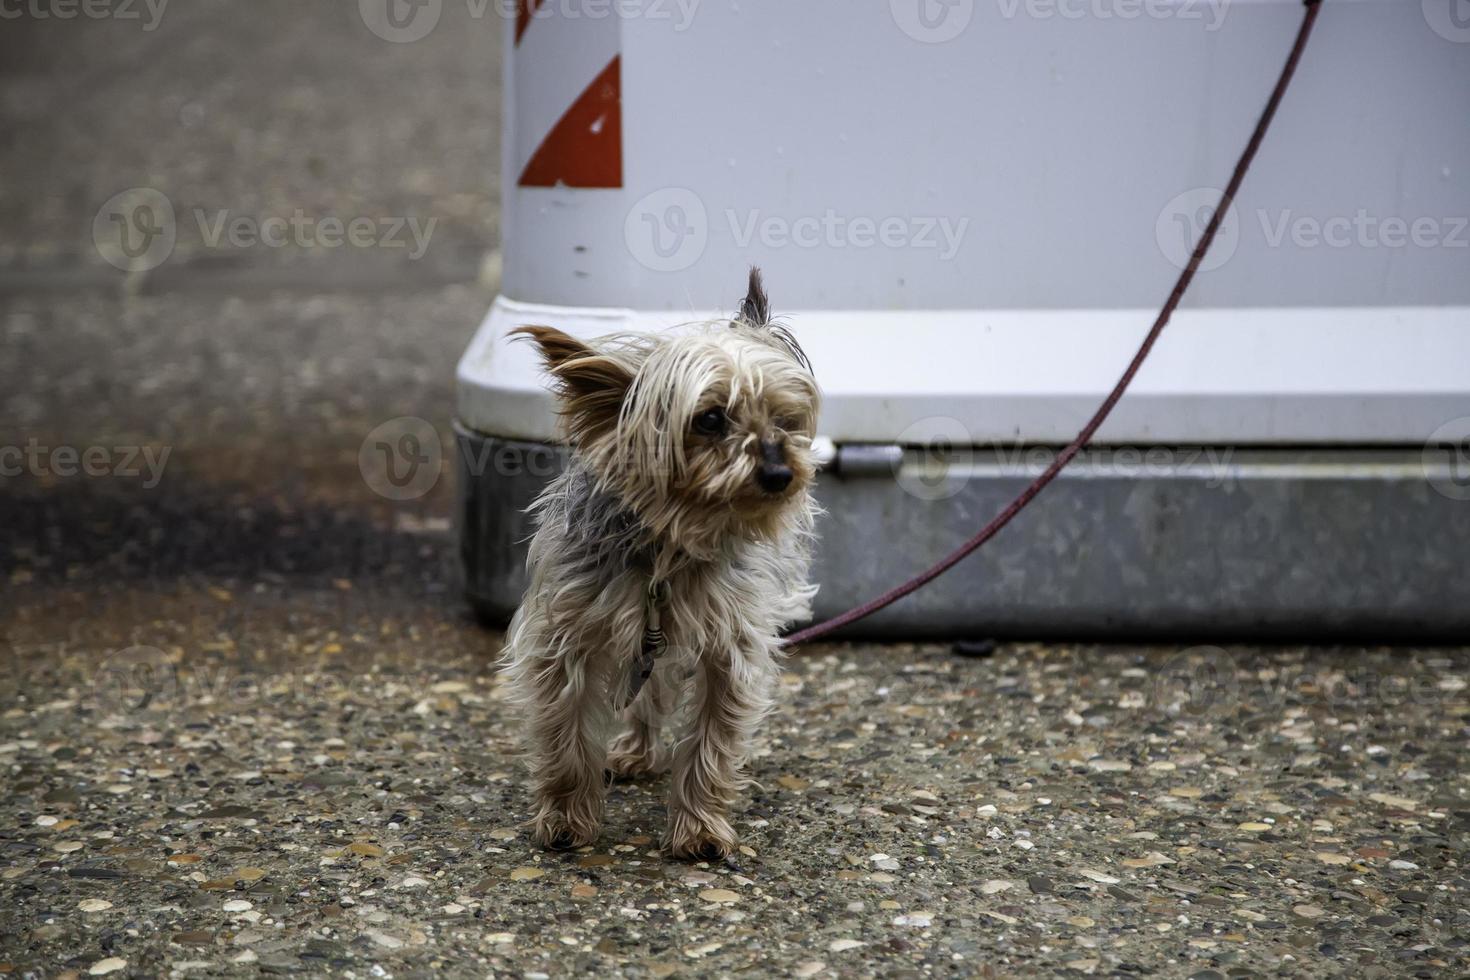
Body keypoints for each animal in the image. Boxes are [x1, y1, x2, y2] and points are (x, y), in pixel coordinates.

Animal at [508, 268, 823, 858]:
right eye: (711, 419)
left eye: (784, 418)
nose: (780, 474)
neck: (668, 547)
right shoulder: (563, 638)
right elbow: (565, 736)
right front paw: (564, 818)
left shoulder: (732, 645)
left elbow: (711, 742)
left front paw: (699, 828)